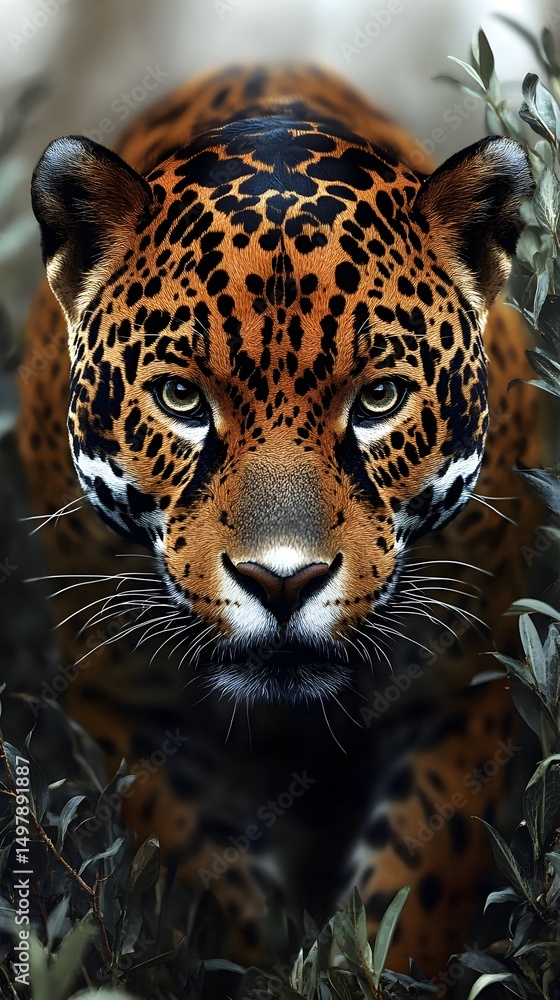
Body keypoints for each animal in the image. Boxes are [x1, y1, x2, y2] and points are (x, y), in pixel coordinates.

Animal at [18, 64, 543, 977]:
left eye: (380, 399)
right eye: (180, 398)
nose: (283, 581)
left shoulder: (466, 677)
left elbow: (417, 879)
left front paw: (373, 966)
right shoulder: (119, 694)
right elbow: (203, 870)